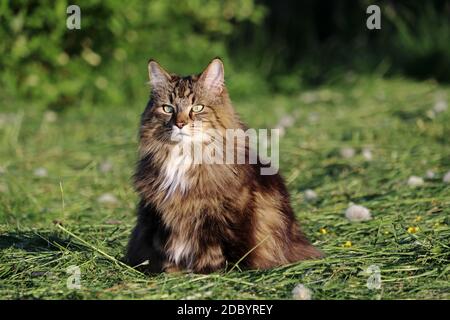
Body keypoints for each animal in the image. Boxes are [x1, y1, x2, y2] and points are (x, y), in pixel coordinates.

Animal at [125, 57, 324, 272]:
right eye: (168, 108)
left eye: (197, 108)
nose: (180, 123)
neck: (185, 154)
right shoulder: (160, 218)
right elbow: (168, 252)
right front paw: (173, 273)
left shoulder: (221, 217)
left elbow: (216, 252)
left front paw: (208, 273)